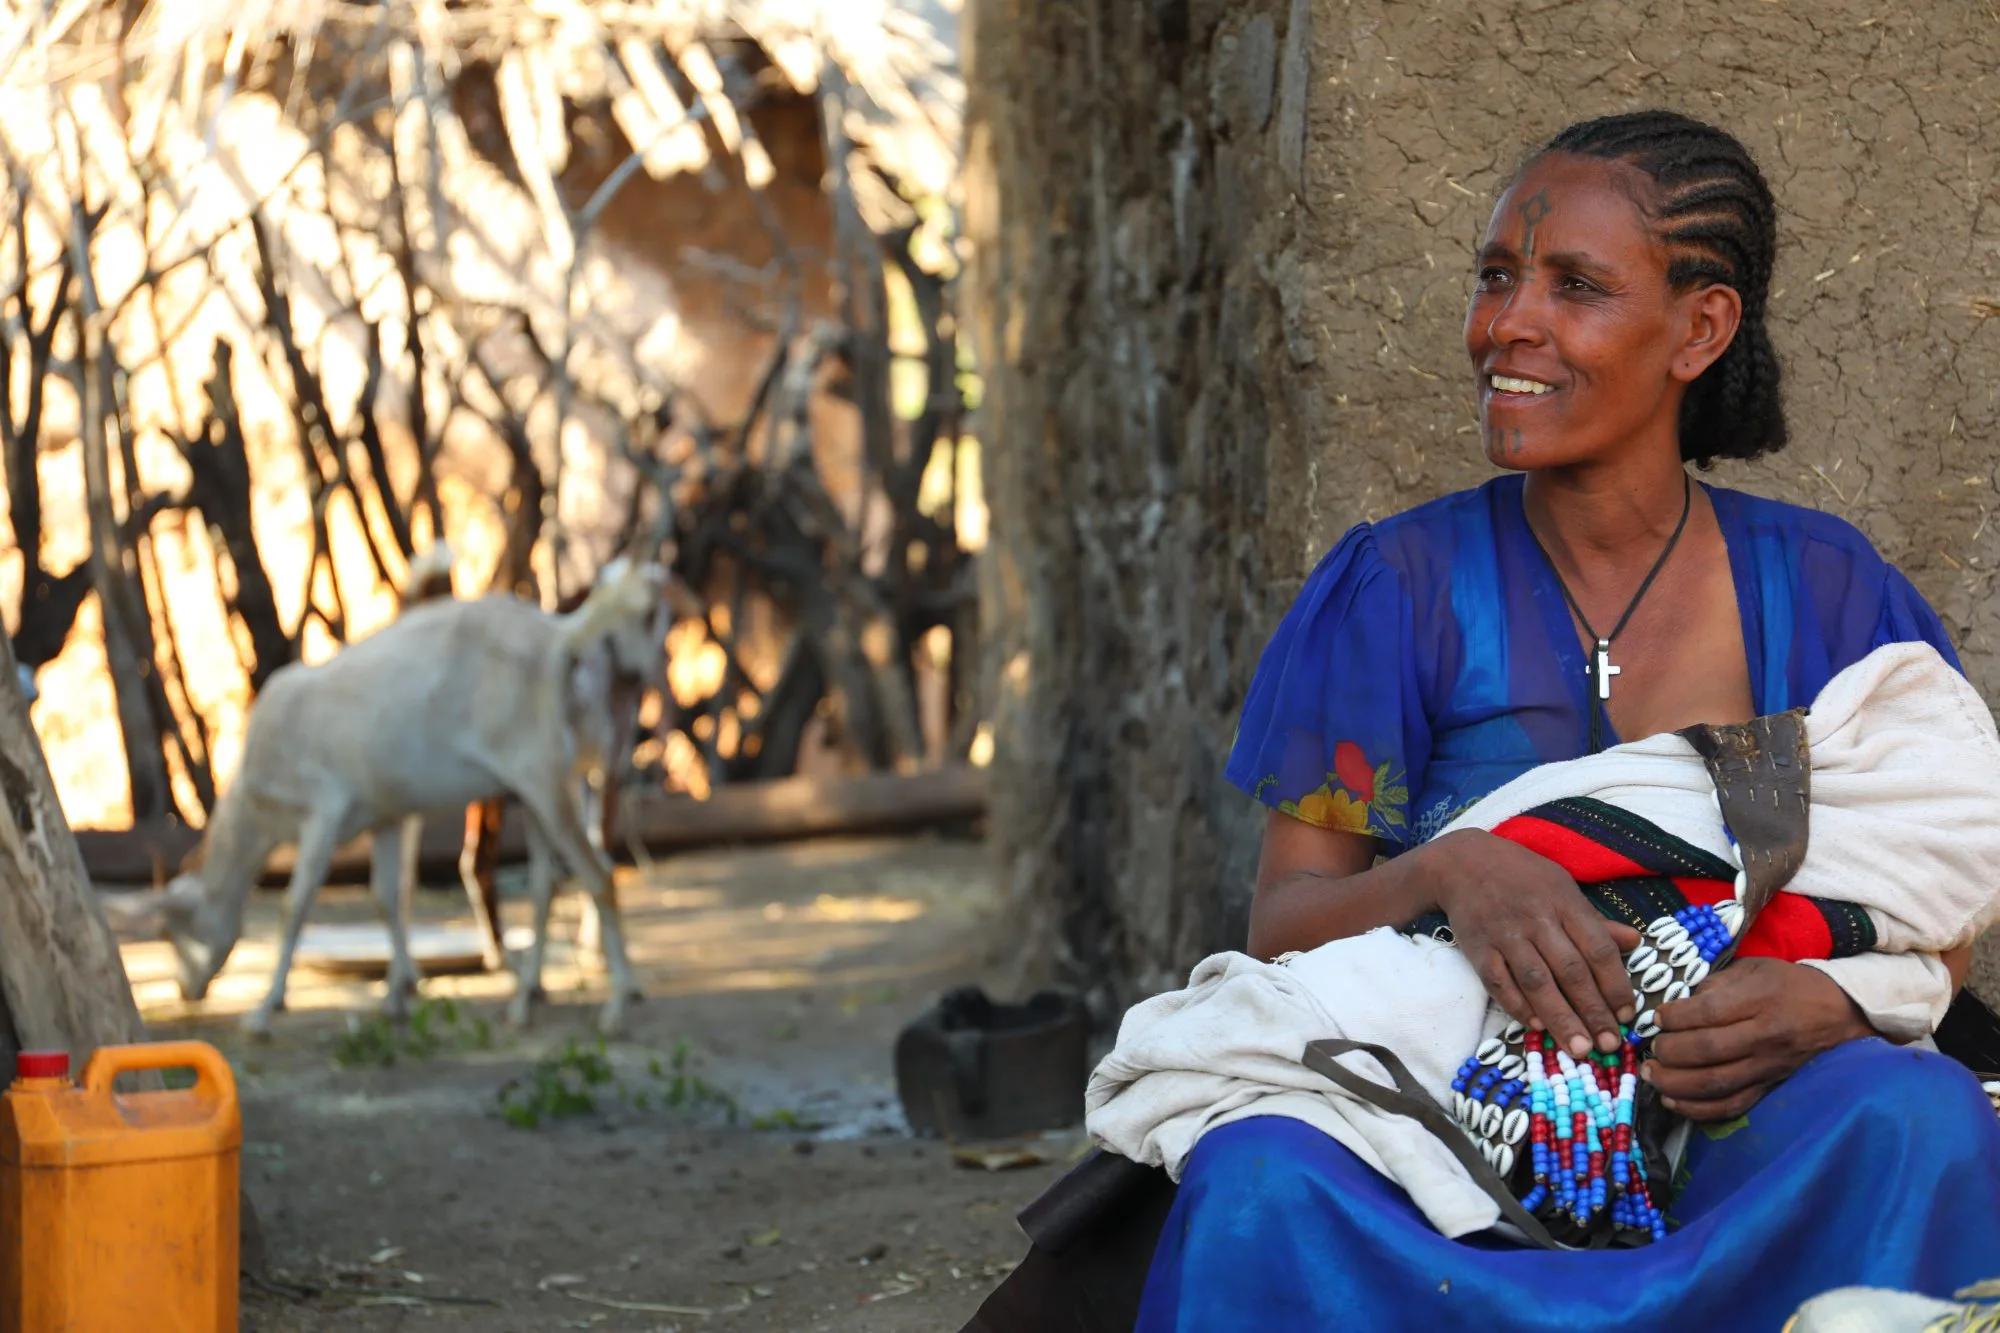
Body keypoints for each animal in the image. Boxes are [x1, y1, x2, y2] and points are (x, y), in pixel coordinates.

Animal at [162, 559, 671, 1036]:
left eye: (177, 930)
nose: (186, 991)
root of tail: (561, 638)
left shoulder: (323, 813)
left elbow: (295, 905)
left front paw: (265, 1009)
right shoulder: (385, 816)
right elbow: (387, 897)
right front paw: (396, 997)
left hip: (542, 777)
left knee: (599, 876)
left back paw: (616, 1007)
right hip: (542, 787)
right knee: (548, 886)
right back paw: (524, 1002)